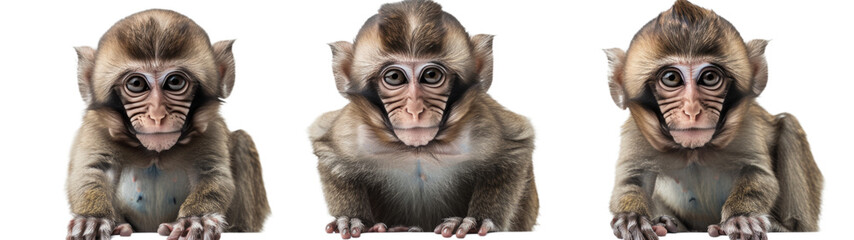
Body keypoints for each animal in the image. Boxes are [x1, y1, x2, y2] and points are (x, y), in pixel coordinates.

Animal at [65, 9, 270, 240]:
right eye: (136, 83)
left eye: (175, 82)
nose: (157, 114)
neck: (155, 153)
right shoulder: (96, 127)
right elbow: (93, 170)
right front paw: (94, 217)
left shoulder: (211, 128)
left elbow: (212, 173)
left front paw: (197, 217)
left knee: (242, 140)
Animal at [310, 0, 540, 238]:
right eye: (394, 77)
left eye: (431, 75)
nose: (415, 108)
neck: (418, 149)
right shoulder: (353, 131)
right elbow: (329, 151)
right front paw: (354, 218)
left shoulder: (481, 123)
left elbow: (515, 149)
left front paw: (475, 220)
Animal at [604, 0, 824, 239]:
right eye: (671, 78)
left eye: (710, 77)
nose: (692, 109)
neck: (694, 151)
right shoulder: (637, 131)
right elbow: (634, 179)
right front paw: (632, 217)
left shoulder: (745, 125)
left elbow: (758, 174)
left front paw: (741, 216)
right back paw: (669, 224)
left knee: (789, 125)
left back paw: (784, 227)